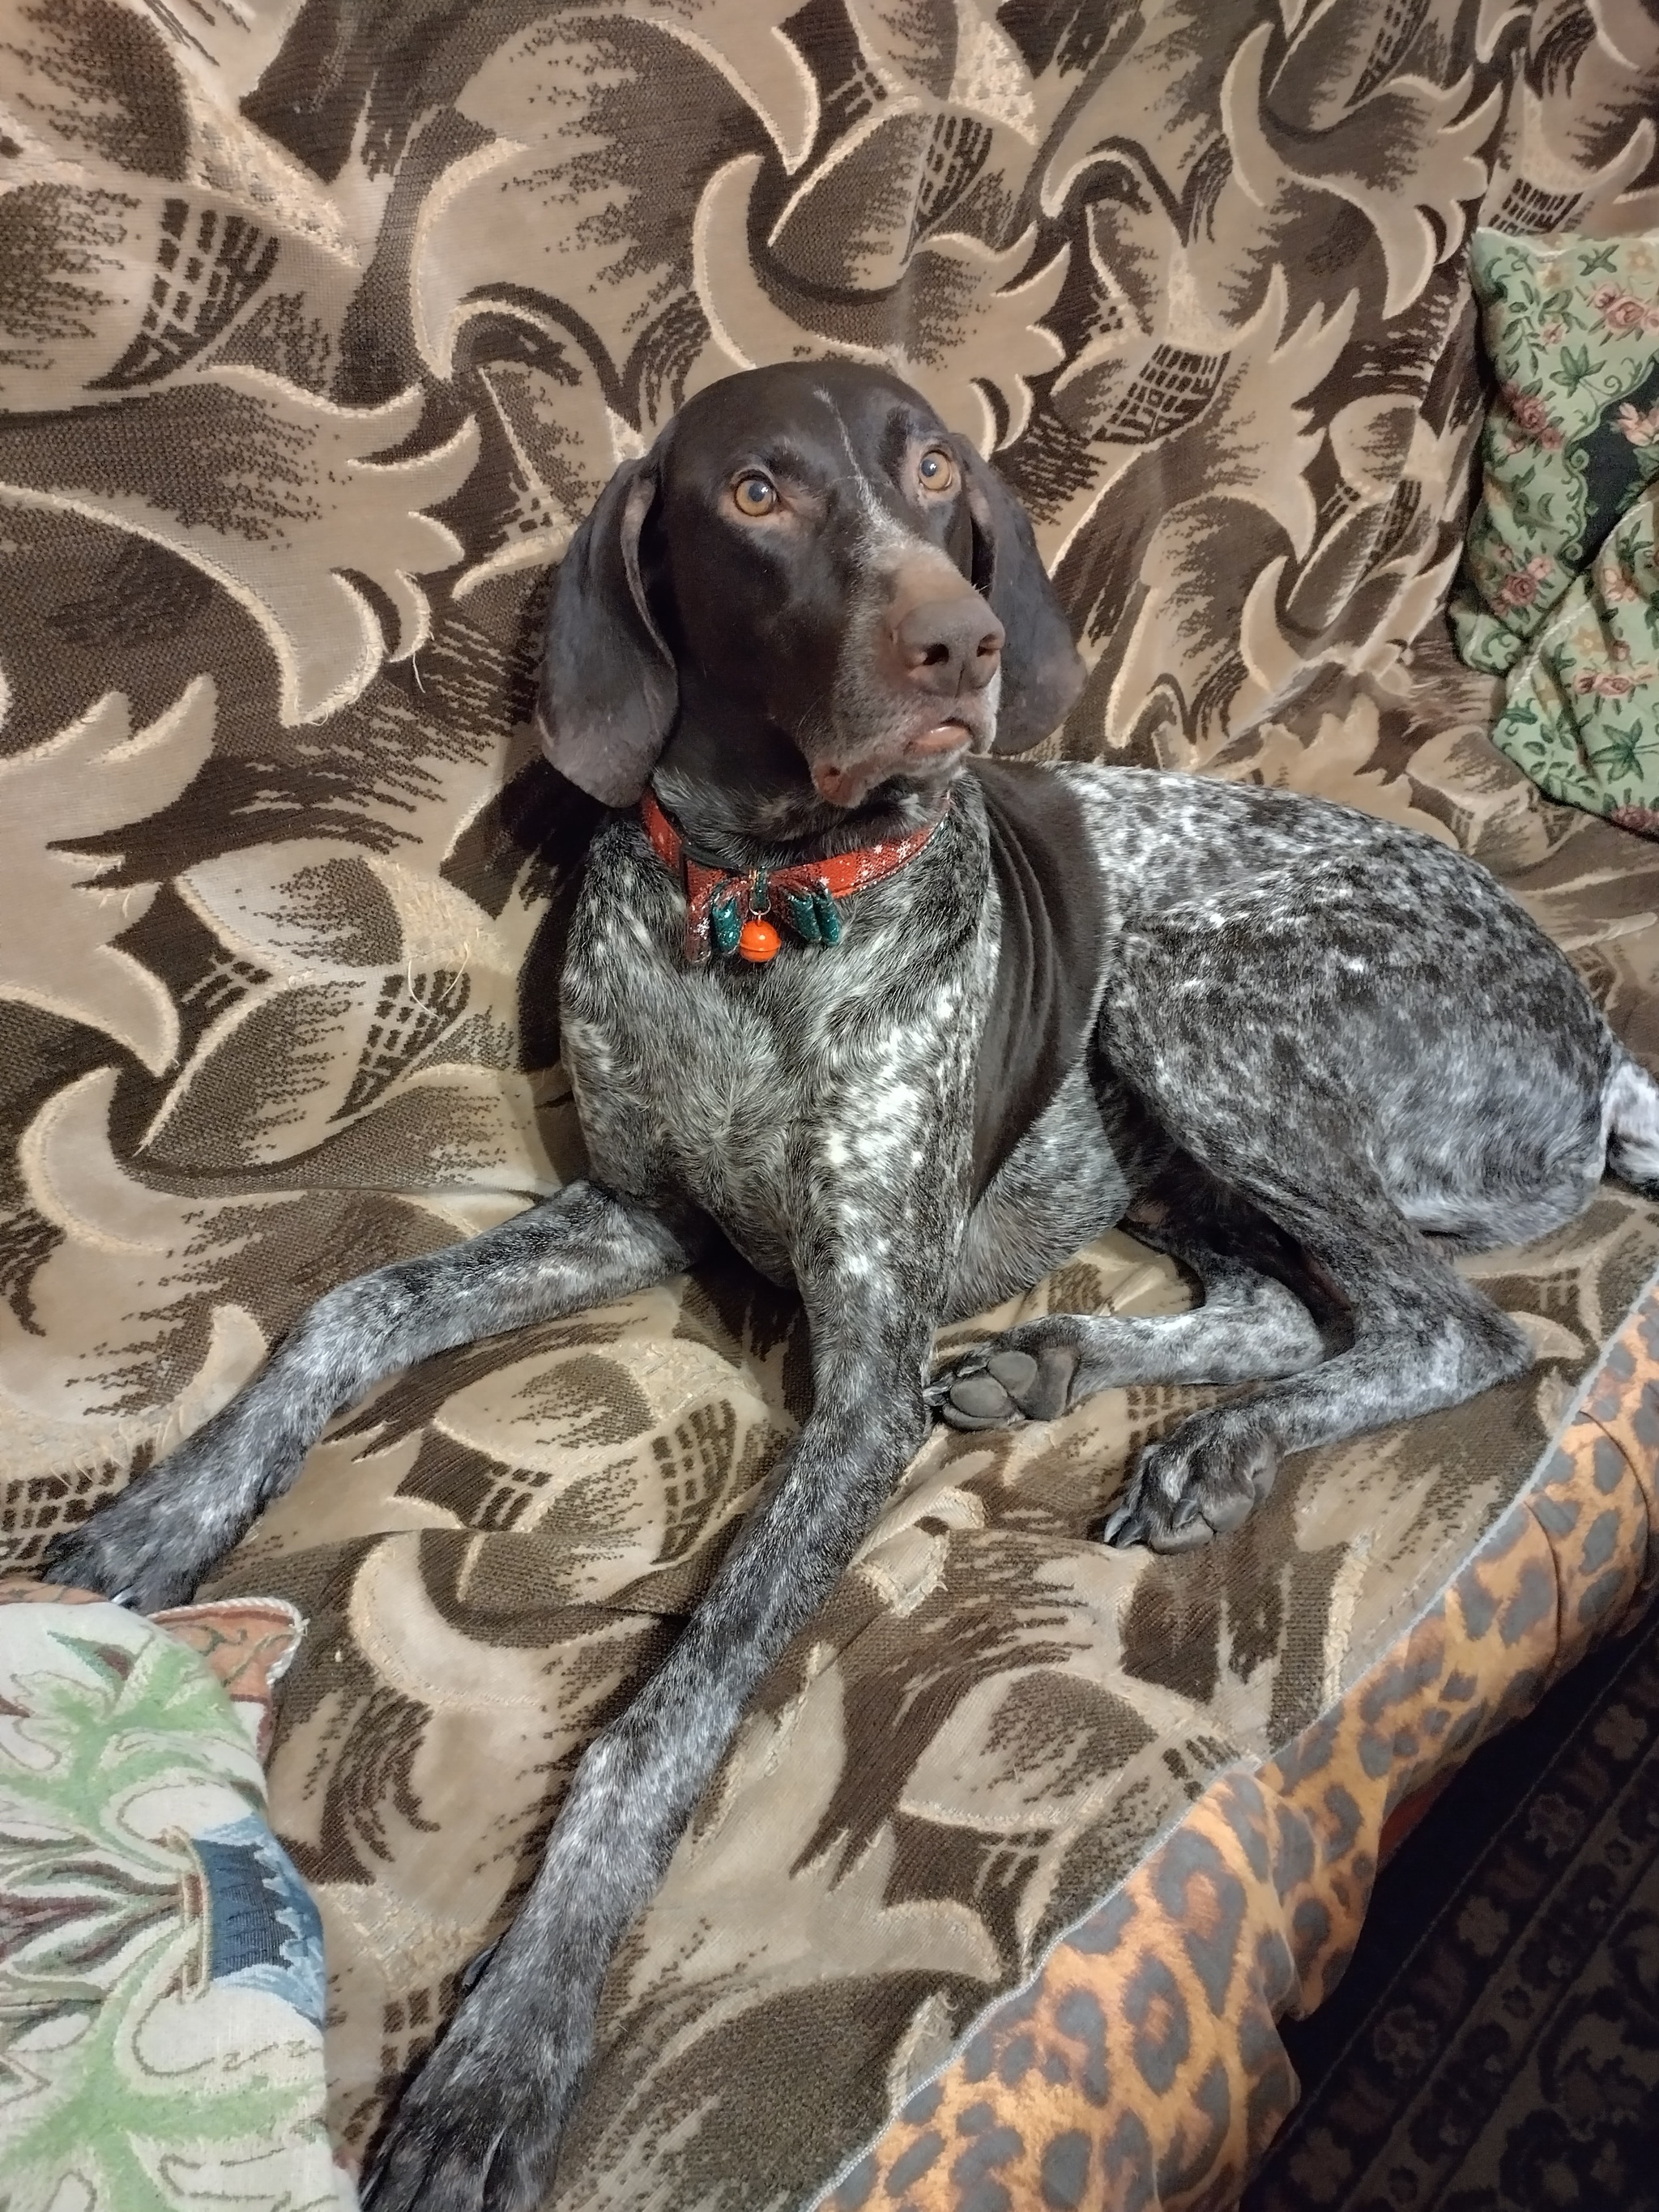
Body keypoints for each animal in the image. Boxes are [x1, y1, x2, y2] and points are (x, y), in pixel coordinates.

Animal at [43, 360, 1659, 2211]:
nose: (962, 642)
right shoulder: (630, 1219)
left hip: (1198, 988)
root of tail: (1590, 1033)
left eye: (939, 472)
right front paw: (163, 1519)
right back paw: (1063, 1373)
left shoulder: (862, 1385)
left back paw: (1217, 1445)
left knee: (1442, 1321)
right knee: (1292, 1304)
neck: (756, 910)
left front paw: (512, 2039)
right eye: (757, 492)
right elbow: (350, 1306)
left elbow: (651, 1734)